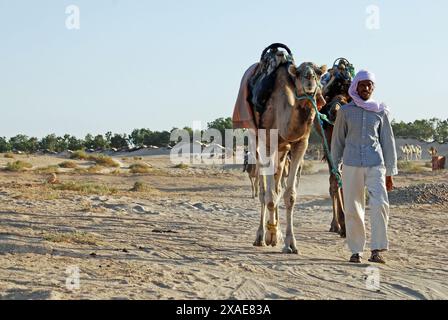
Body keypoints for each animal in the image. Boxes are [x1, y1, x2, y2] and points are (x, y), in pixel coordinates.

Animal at [252, 61, 326, 254]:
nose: (310, 79)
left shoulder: (301, 143)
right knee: (264, 192)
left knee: (277, 184)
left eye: (318, 73)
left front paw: (290, 243)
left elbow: (289, 195)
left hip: (282, 152)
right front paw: (269, 236)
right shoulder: (268, 144)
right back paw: (261, 236)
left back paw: (274, 233)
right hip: (256, 144)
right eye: (299, 72)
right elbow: (269, 195)